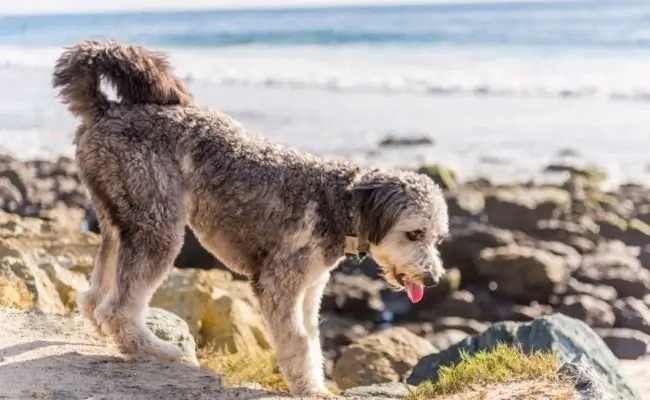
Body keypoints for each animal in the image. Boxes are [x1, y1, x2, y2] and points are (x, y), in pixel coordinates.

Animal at [52, 39, 446, 396]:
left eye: (437, 239)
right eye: (414, 233)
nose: (433, 279)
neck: (336, 202)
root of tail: (106, 109)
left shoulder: (309, 289)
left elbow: (312, 340)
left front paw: (315, 383)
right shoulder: (278, 284)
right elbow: (298, 342)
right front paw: (309, 389)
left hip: (119, 219)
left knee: (94, 296)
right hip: (157, 226)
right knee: (118, 308)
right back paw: (154, 349)